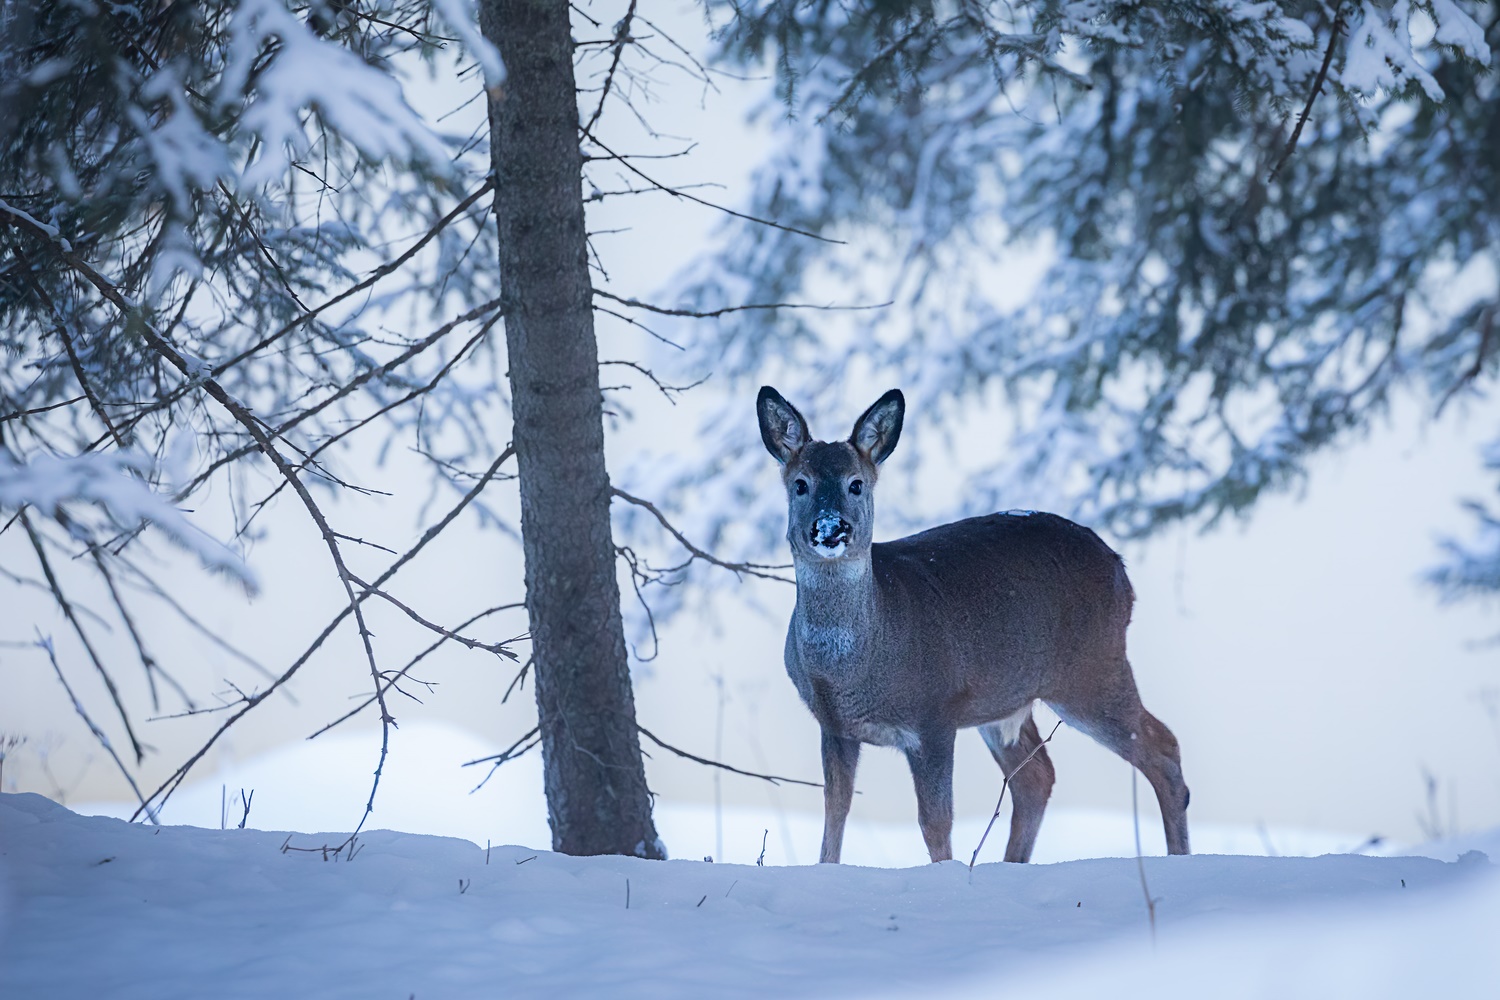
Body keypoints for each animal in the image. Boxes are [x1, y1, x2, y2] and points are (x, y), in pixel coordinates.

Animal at [756, 386, 1188, 863]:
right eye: (801, 484)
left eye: (856, 483)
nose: (830, 528)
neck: (855, 665)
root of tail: (1120, 567)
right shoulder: (834, 725)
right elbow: (836, 812)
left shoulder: (934, 714)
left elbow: (935, 821)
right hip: (1006, 696)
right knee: (1036, 776)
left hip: (1092, 667)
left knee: (1163, 747)